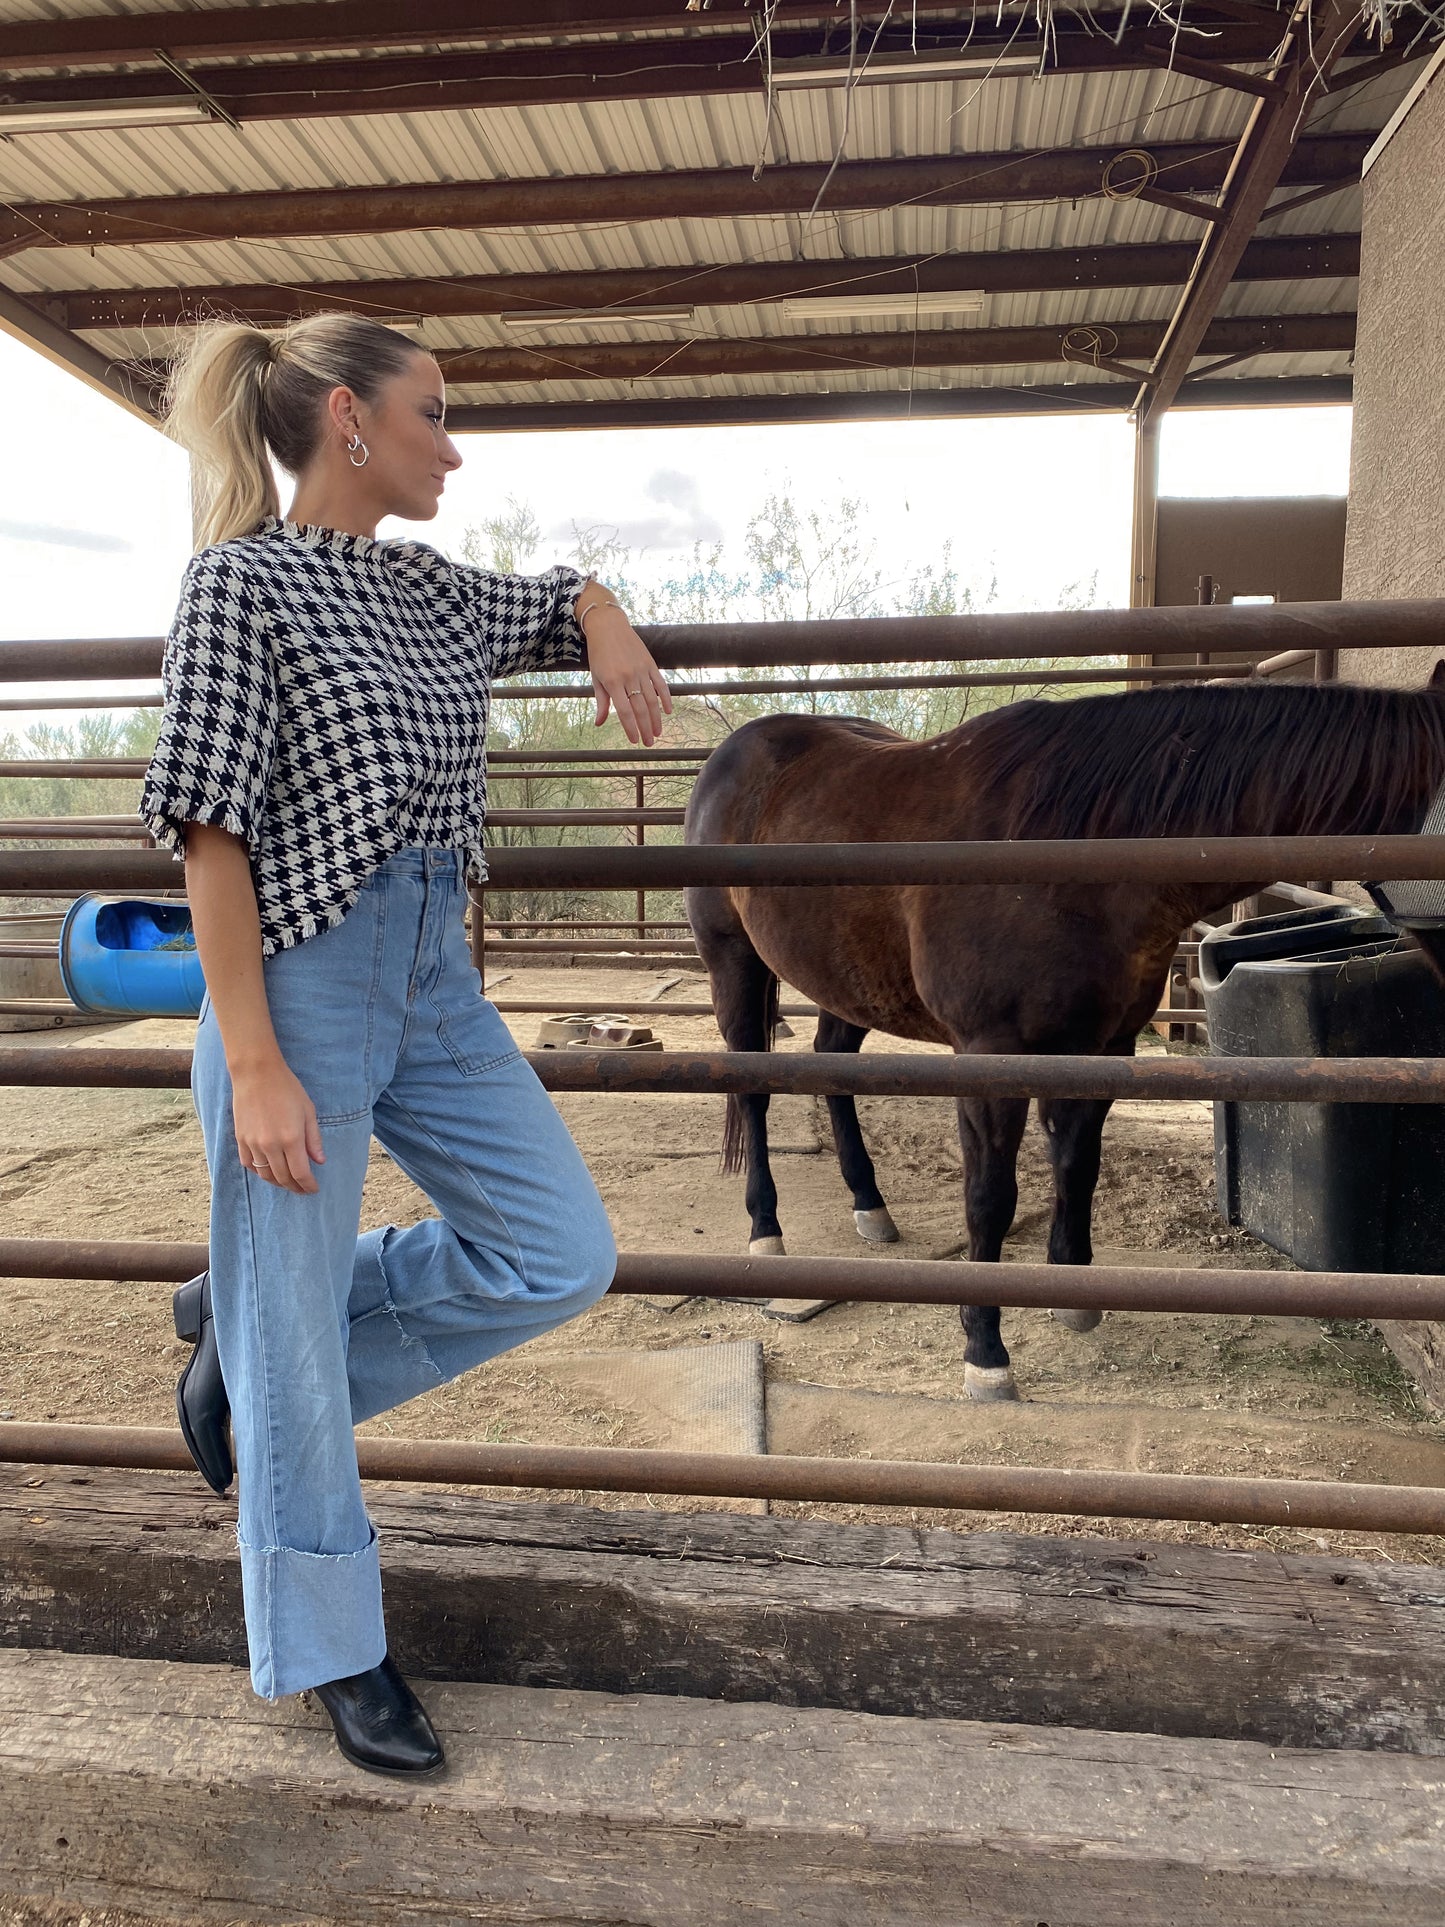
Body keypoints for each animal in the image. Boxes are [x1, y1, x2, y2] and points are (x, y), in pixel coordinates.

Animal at [685, 682, 1445, 1402]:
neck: (1071, 848)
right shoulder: (990, 1057)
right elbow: (991, 1195)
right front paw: (985, 1351)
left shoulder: (1102, 1048)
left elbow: (1077, 1165)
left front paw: (1071, 1298)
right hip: (735, 963)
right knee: (753, 1092)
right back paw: (766, 1231)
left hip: (848, 979)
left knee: (834, 1068)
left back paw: (870, 1206)